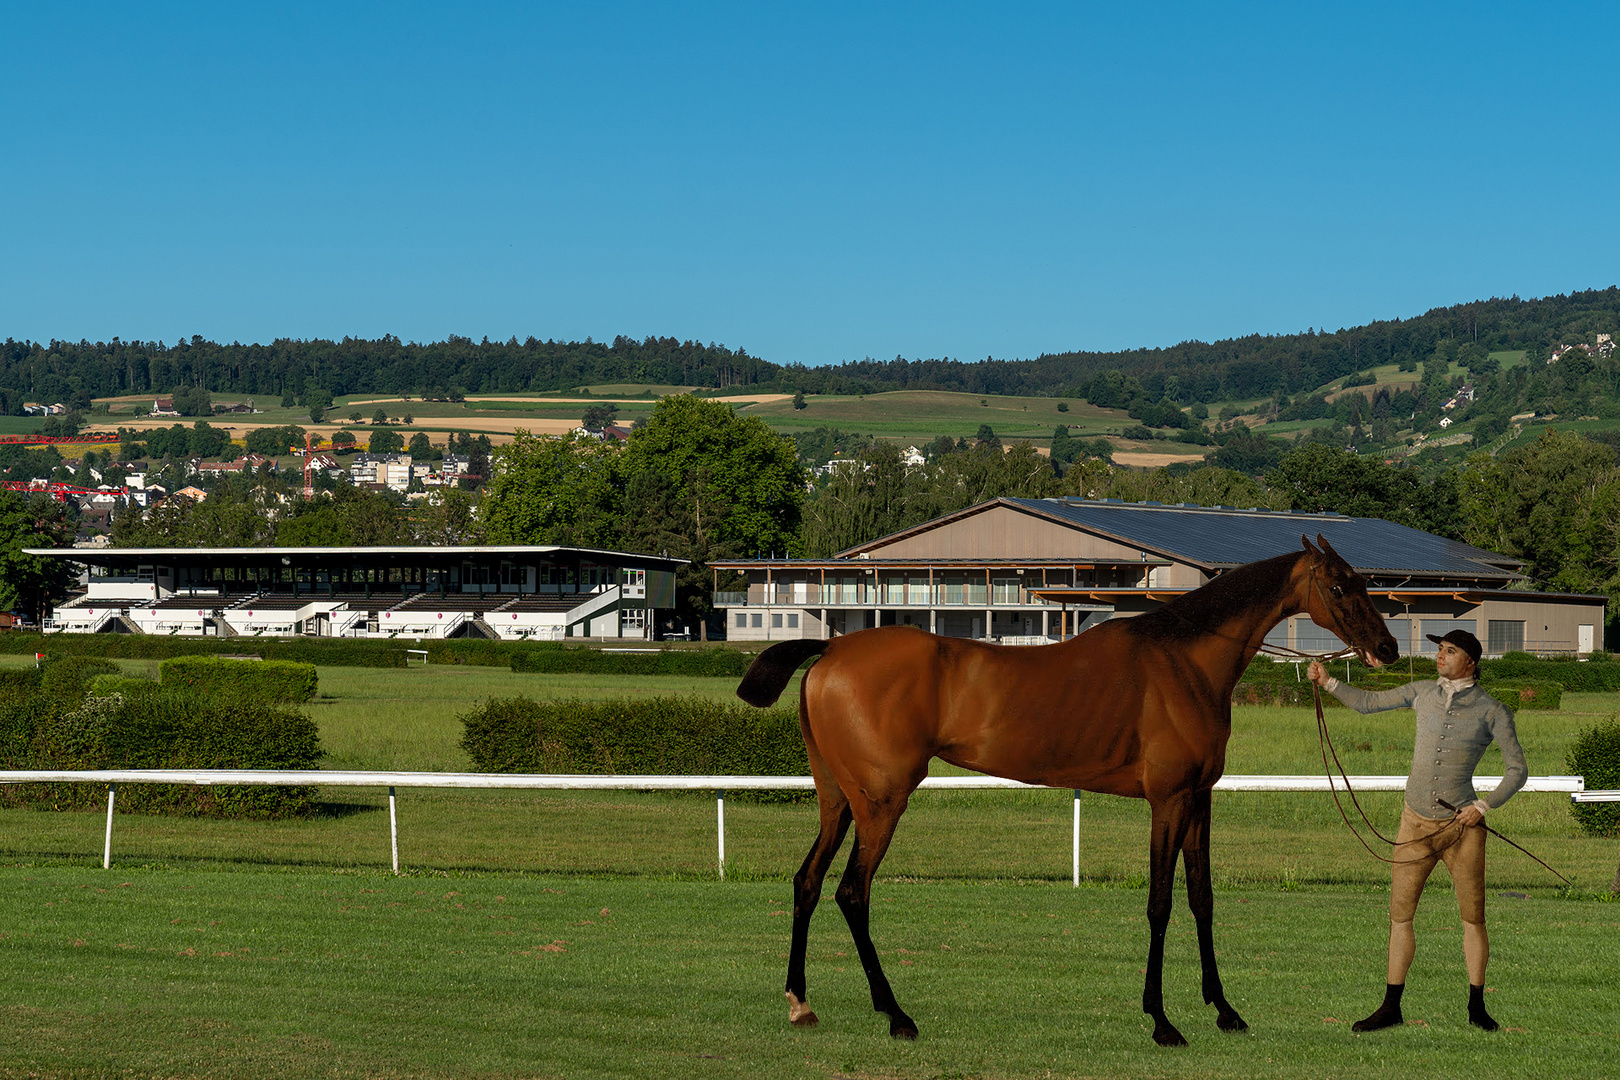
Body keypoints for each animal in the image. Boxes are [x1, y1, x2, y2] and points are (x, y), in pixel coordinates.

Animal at [741, 537, 1399, 1042]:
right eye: (1339, 587)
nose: (1388, 648)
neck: (1184, 660)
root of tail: (831, 648)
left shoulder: (1200, 800)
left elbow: (1202, 899)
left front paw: (1225, 1010)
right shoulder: (1169, 801)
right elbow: (1160, 904)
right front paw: (1162, 1021)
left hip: (838, 802)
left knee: (806, 882)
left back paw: (801, 1002)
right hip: (882, 802)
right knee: (852, 892)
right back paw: (896, 1014)